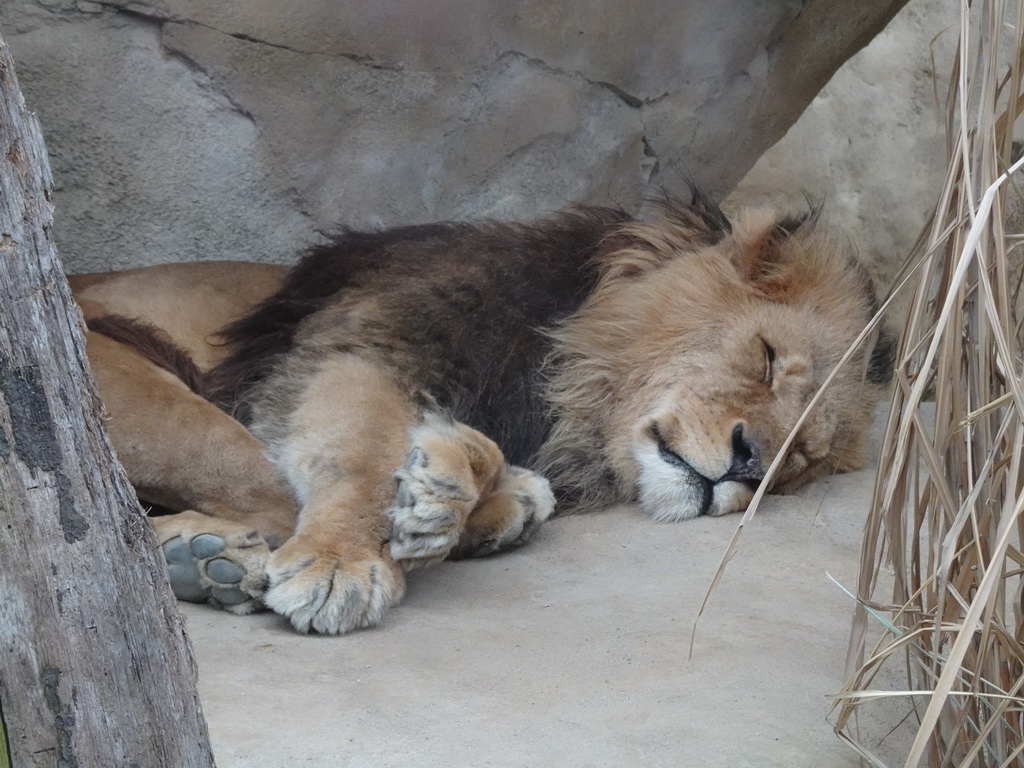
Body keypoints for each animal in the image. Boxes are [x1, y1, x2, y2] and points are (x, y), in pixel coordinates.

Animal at [68, 189, 892, 634]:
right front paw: (346, 559)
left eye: (801, 458)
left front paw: (448, 488)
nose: (750, 462)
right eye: (765, 357)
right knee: (245, 499)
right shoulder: (361, 348)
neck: (569, 391)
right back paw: (210, 558)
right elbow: (362, 449)